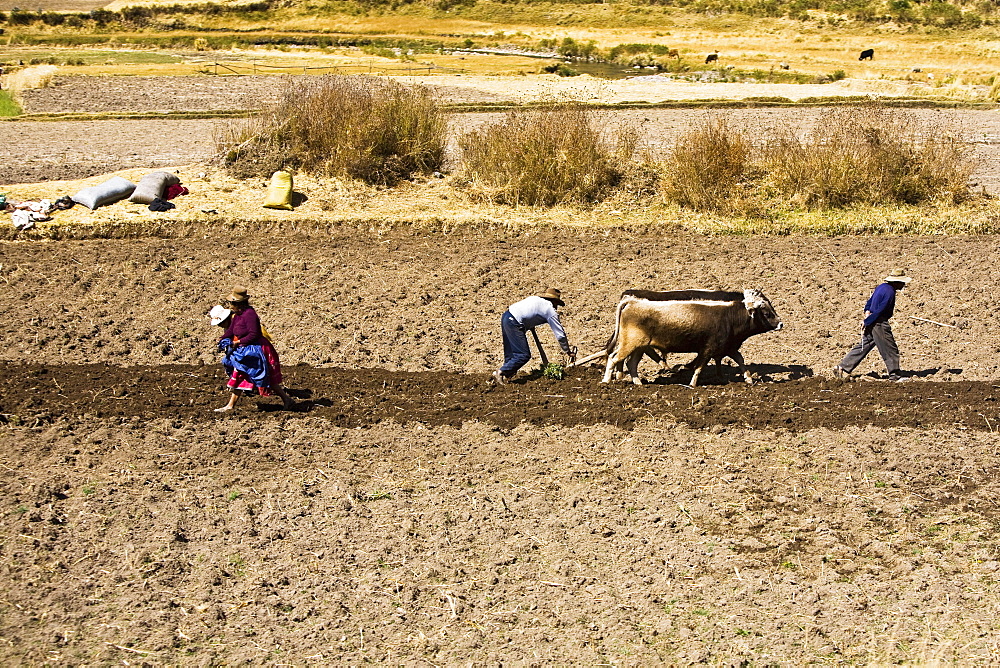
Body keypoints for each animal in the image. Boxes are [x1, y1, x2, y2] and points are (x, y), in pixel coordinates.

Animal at [600, 288, 780, 386]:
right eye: (766, 313)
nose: (780, 323)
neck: (729, 317)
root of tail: (632, 302)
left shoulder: (728, 347)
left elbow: (741, 361)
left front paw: (748, 379)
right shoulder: (707, 349)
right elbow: (699, 366)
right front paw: (692, 383)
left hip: (640, 347)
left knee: (631, 363)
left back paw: (638, 382)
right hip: (630, 344)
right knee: (614, 358)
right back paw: (606, 381)